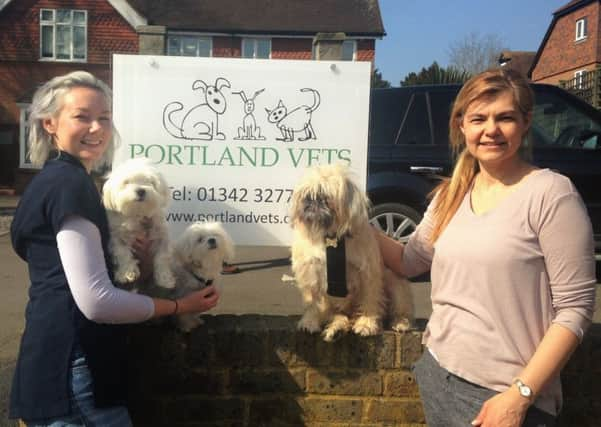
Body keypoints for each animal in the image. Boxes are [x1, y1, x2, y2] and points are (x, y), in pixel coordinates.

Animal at [101, 160, 175, 290]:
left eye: (150, 181)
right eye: (126, 182)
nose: (141, 191)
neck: (138, 213)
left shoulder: (162, 236)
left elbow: (162, 257)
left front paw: (165, 279)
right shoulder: (117, 237)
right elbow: (123, 253)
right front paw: (127, 273)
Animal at [290, 162, 412, 342]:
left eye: (325, 197)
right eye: (306, 195)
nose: (311, 201)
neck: (330, 236)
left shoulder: (368, 274)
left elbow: (369, 300)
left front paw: (366, 324)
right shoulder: (311, 275)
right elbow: (313, 303)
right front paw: (310, 322)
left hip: (395, 284)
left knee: (398, 309)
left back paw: (401, 322)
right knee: (339, 317)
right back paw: (337, 329)